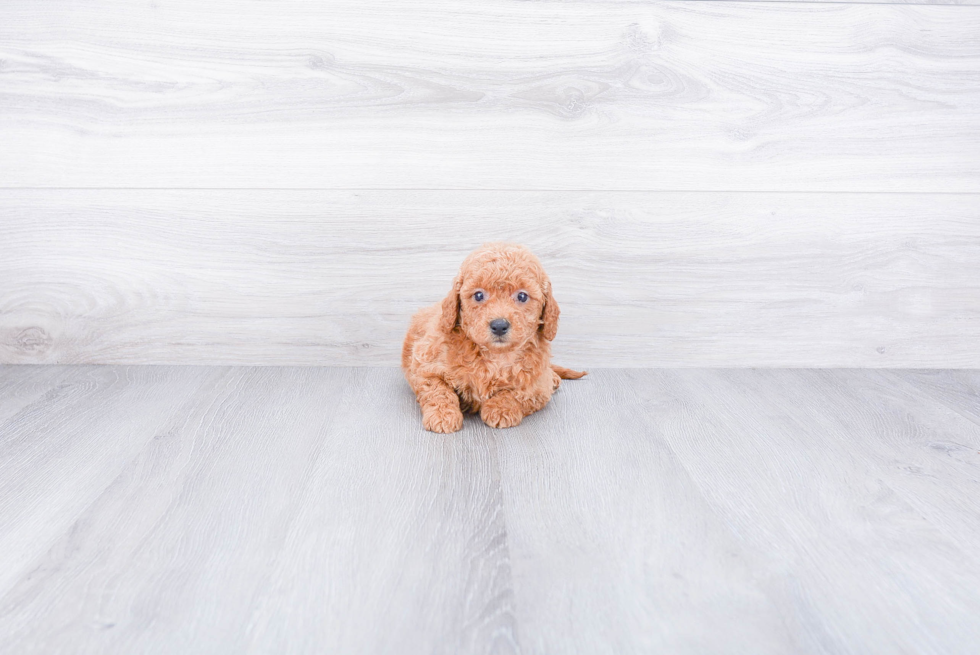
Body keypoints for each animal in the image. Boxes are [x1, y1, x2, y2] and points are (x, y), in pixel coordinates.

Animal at [402, 243, 584, 434]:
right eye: (478, 295)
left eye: (522, 296)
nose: (499, 325)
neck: (496, 356)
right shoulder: (424, 365)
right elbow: (438, 390)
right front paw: (443, 415)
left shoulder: (537, 387)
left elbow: (517, 393)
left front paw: (501, 408)